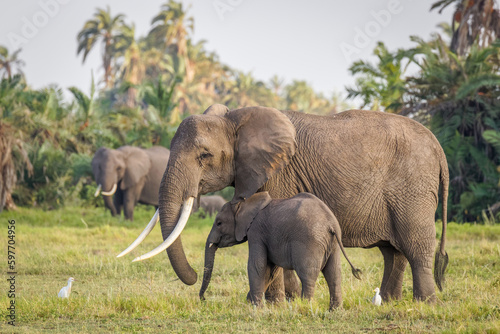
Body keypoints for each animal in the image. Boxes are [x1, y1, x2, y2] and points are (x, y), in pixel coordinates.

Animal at [198, 192, 360, 310]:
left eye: (219, 223)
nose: (204, 299)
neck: (247, 201)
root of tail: (331, 223)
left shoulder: (256, 231)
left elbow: (257, 265)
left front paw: (256, 308)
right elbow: (270, 270)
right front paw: (250, 303)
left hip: (310, 241)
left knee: (307, 276)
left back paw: (304, 307)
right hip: (333, 244)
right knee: (334, 274)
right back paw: (335, 311)